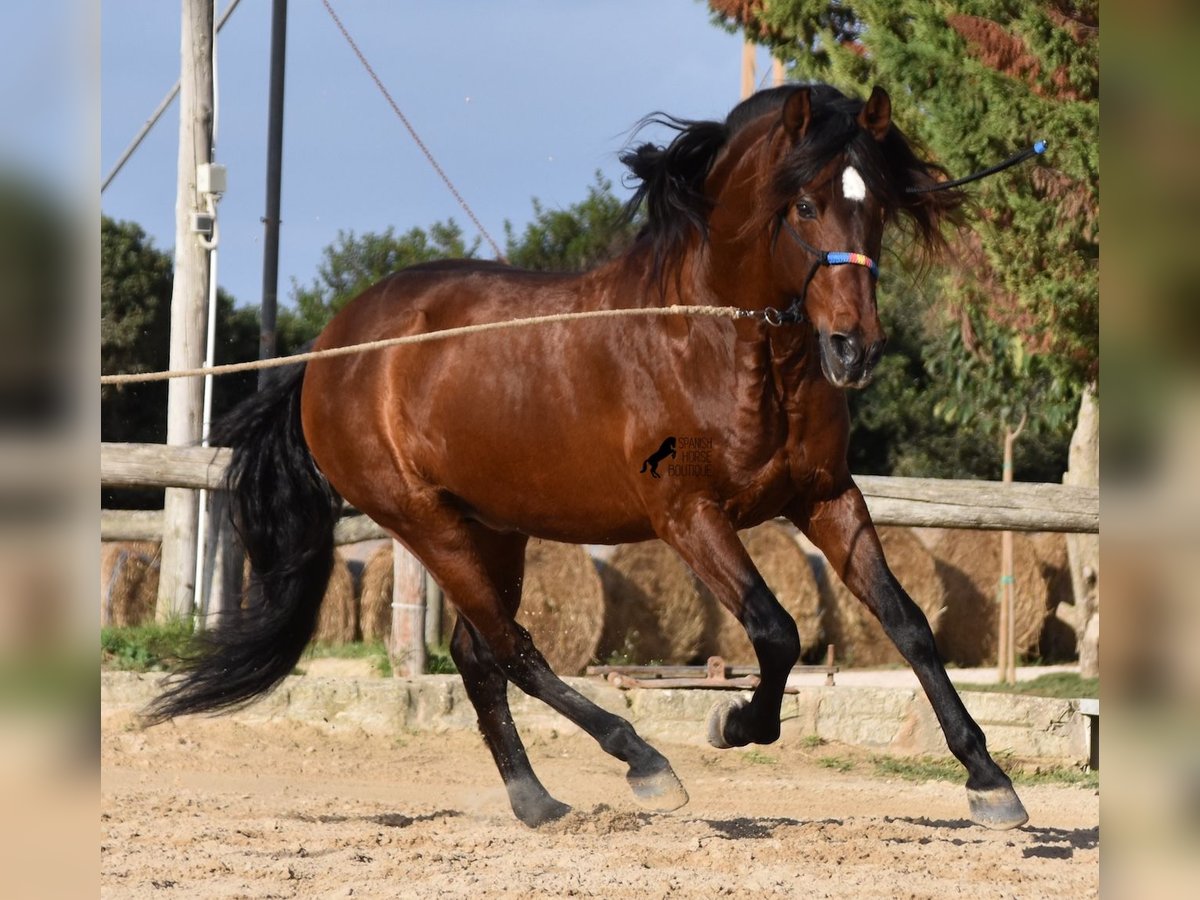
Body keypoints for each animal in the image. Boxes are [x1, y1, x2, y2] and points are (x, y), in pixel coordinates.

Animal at [150, 84, 1032, 830]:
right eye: (805, 204)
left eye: (875, 205)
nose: (856, 349)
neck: (721, 340)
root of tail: (330, 350)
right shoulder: (688, 514)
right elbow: (777, 630)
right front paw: (735, 722)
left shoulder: (825, 496)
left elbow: (909, 623)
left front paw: (990, 782)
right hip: (425, 521)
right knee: (513, 649)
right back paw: (643, 762)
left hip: (495, 526)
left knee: (478, 654)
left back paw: (538, 802)